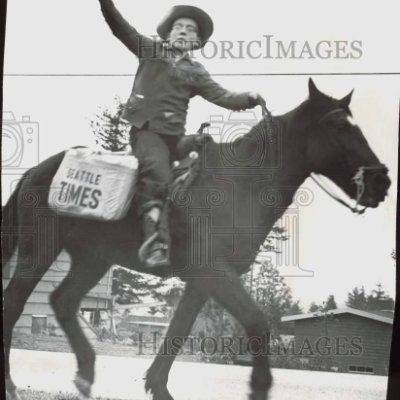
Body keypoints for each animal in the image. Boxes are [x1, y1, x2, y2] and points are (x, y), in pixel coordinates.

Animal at [2, 79, 390, 400]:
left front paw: (158, 388)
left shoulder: (202, 282)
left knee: (64, 301)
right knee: (15, 304)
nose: (381, 181)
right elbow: (256, 322)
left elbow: (177, 332)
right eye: (338, 126)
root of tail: (35, 171)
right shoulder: (213, 272)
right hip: (39, 252)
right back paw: (11, 383)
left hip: (92, 258)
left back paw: (85, 374)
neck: (240, 184)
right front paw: (258, 388)